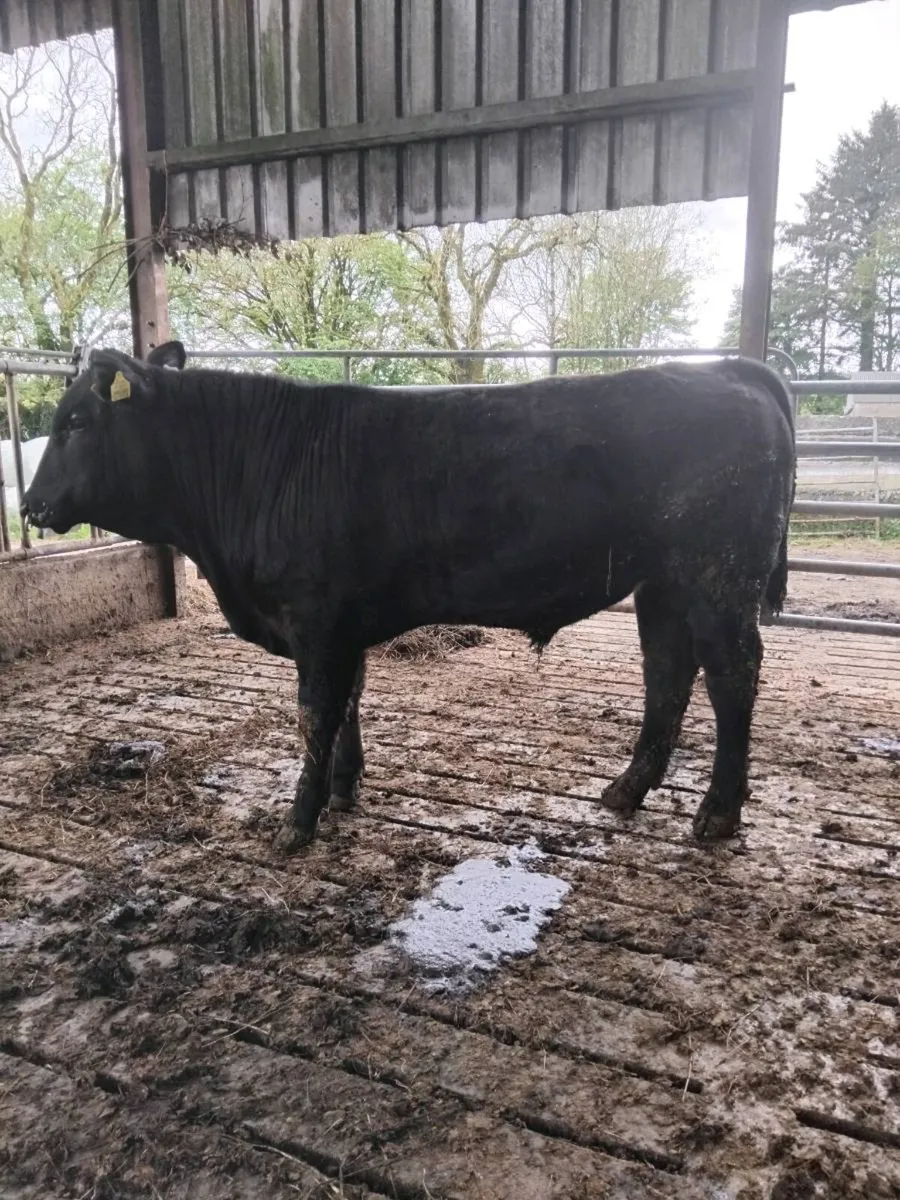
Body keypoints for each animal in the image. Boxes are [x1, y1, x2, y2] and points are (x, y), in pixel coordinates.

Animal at [22, 342, 795, 854]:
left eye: (77, 421)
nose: (29, 505)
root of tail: (726, 367)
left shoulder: (316, 622)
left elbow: (313, 714)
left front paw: (297, 824)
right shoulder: (343, 624)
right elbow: (349, 704)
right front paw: (344, 789)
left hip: (718, 577)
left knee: (732, 677)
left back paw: (716, 815)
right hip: (662, 583)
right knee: (668, 674)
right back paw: (626, 791)